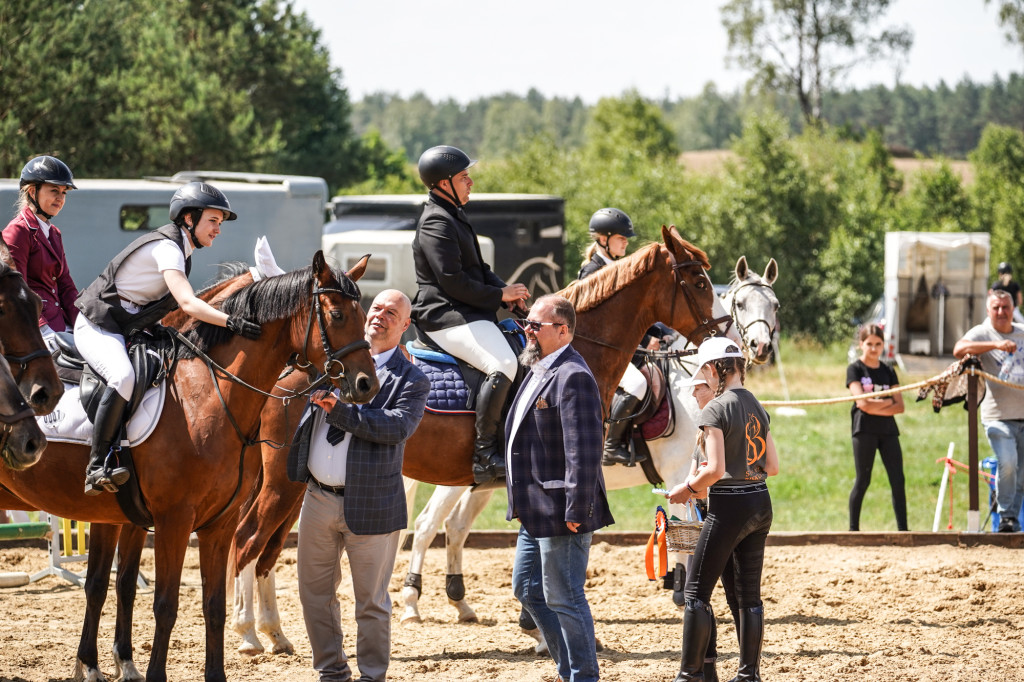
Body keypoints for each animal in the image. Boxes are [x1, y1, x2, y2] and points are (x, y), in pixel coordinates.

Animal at [0, 251, 380, 679]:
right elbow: (161, 603)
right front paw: (136, 670)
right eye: (336, 315)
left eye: (363, 315)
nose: (367, 385)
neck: (206, 395)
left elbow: (201, 603)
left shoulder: (213, 524)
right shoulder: (172, 521)